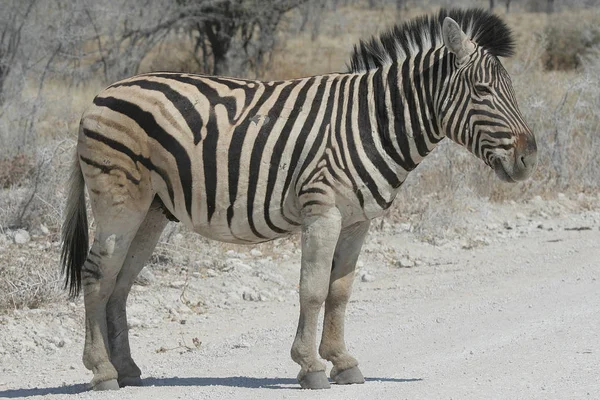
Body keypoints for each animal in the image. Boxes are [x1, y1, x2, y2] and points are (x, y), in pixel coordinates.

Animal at [61, 8, 540, 390]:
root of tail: (99, 96)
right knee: (96, 275)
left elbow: (340, 291)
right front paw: (310, 366)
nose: (529, 158)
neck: (371, 123)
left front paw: (343, 361)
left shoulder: (357, 220)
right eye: (482, 92)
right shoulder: (321, 212)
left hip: (152, 211)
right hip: (119, 201)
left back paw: (127, 370)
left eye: (510, 89)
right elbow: (312, 289)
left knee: (120, 281)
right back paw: (101, 371)